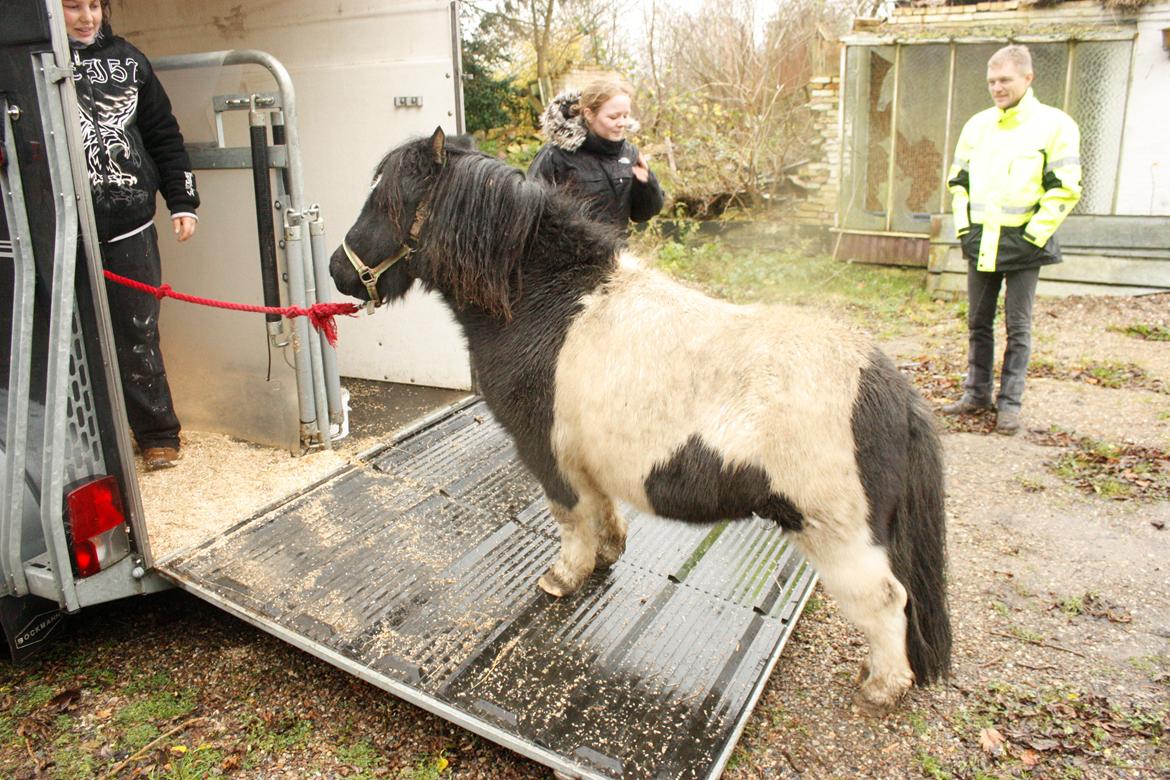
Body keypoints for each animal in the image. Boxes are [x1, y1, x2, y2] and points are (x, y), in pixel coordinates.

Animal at [327, 129, 950, 715]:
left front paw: (564, 577)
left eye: (384, 200)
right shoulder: (584, 460)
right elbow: (601, 511)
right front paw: (606, 554)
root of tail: (890, 390)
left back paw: (881, 687)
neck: (546, 306)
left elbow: (570, 518)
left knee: (887, 602)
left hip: (840, 540)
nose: (337, 270)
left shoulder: (546, 455)